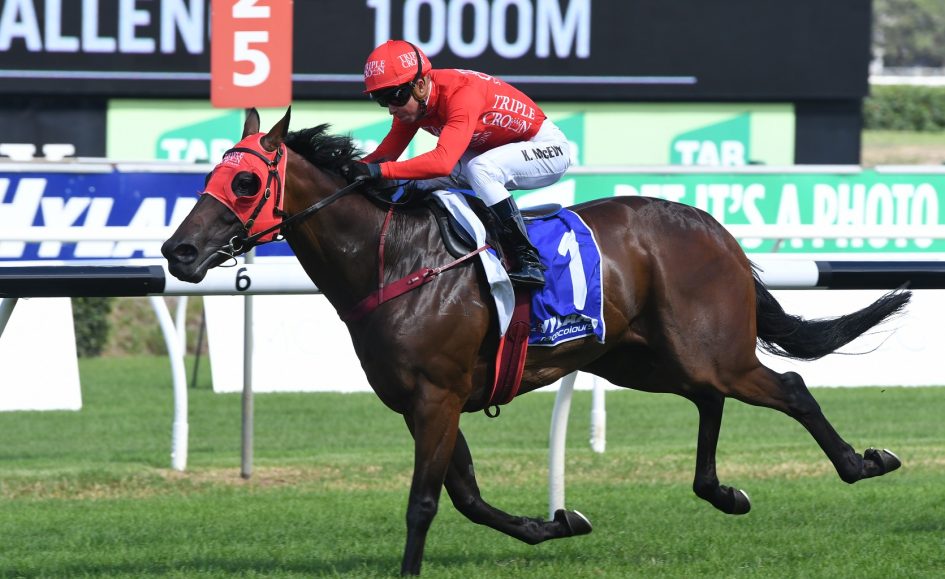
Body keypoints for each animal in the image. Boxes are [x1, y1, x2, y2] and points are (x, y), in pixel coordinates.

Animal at [162, 108, 908, 576]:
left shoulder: (436, 398)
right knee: (710, 400)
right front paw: (559, 522)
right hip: (641, 357)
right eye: (208, 177)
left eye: (246, 181)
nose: (178, 251)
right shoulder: (421, 404)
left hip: (708, 349)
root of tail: (710, 224)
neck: (395, 259)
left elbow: (425, 502)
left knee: (788, 387)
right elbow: (468, 497)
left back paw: (861, 462)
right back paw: (723, 492)